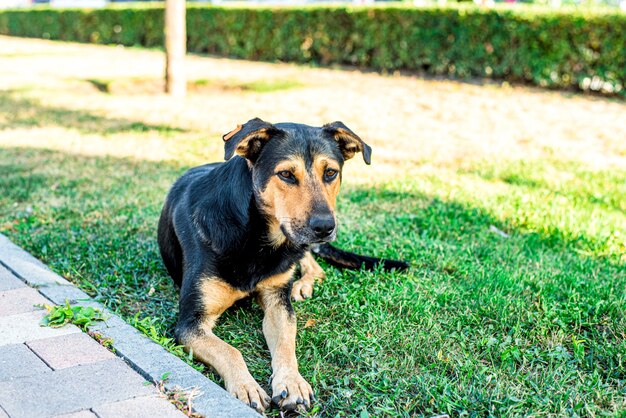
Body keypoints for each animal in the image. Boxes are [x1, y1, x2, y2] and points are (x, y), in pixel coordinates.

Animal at [158, 118, 408, 412]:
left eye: (331, 173)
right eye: (286, 174)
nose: (325, 227)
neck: (256, 238)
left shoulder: (278, 302)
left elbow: (287, 344)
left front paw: (292, 382)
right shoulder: (189, 323)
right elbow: (229, 350)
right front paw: (247, 386)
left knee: (314, 266)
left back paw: (302, 285)